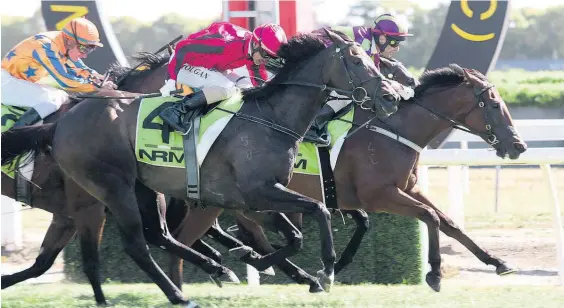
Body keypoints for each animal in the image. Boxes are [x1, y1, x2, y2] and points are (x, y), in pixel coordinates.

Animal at [2, 29, 400, 306]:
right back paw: (179, 294)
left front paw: (259, 261)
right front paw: (326, 270)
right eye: (356, 61)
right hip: (110, 188)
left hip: (143, 189)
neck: (271, 118)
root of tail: (62, 122)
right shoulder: (259, 193)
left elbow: (294, 237)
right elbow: (318, 211)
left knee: (160, 235)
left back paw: (215, 267)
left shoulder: (256, 199)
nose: (391, 96)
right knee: (137, 245)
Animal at [165, 63, 528, 292]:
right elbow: (430, 218)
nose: (518, 146)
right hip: (222, 200)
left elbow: (448, 222)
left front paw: (497, 261)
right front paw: (435, 273)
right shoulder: (380, 195)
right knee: (186, 239)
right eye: (493, 104)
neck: (394, 129)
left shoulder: (406, 189)